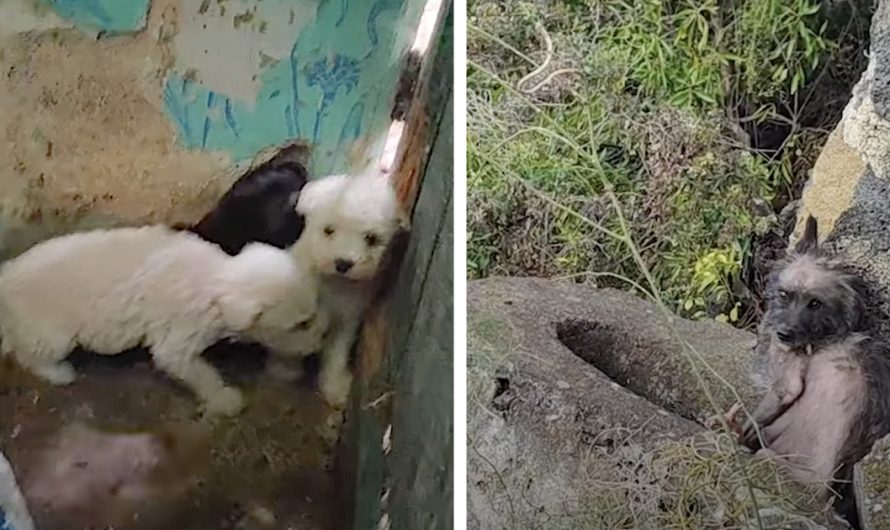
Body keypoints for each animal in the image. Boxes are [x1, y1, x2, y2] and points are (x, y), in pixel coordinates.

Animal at [0, 225, 326, 414]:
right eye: (301, 324)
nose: (320, 344)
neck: (217, 281)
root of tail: (7, 274)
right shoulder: (177, 343)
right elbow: (202, 374)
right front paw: (224, 399)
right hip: (51, 334)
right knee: (28, 355)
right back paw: (59, 373)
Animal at [292, 171, 410, 406]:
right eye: (328, 230)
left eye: (371, 238)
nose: (343, 263)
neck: (335, 284)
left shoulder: (348, 318)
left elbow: (337, 353)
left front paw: (335, 387)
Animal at [732, 214, 888, 496]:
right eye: (784, 295)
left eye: (815, 303)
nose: (783, 334)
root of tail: (823, 486)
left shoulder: (786, 382)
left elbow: (765, 407)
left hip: (773, 451)